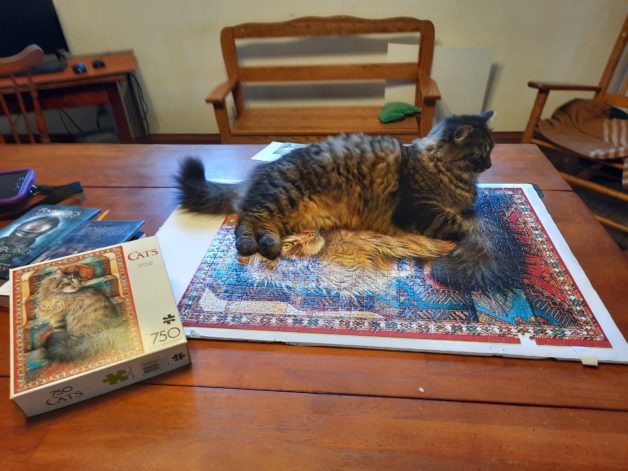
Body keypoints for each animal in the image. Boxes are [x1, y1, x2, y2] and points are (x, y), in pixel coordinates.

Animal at [177, 110, 496, 262]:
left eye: (492, 149)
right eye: (482, 152)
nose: (491, 164)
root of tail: (260, 171)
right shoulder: (418, 208)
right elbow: (461, 223)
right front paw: (476, 232)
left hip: (286, 214)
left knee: (264, 226)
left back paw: (269, 245)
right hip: (281, 196)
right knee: (245, 221)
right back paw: (249, 244)